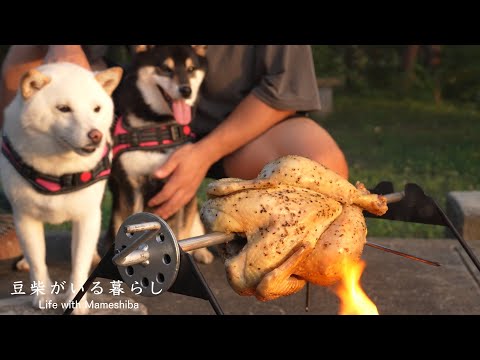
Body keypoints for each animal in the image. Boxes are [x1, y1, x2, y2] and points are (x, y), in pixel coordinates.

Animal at [0, 62, 124, 312]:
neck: (59, 171)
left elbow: (79, 264)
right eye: (64, 109)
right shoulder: (25, 218)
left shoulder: (87, 217)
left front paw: (76, 302)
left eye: (96, 109)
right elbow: (38, 260)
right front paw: (43, 296)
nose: (95, 135)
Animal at [109, 45, 215, 264]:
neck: (159, 127)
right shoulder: (132, 186)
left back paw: (203, 252)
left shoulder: (182, 187)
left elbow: (183, 232)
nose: (186, 91)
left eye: (191, 69)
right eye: (166, 68)